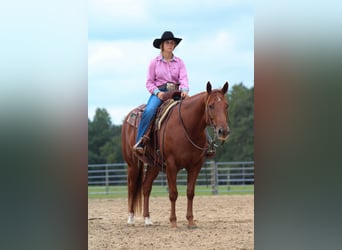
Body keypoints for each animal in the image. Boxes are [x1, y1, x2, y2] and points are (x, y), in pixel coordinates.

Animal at [120, 82, 230, 229]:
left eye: (226, 105)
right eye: (211, 105)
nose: (223, 131)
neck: (187, 128)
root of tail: (128, 118)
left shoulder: (196, 166)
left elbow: (190, 192)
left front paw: (191, 221)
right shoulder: (171, 165)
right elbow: (173, 193)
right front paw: (173, 221)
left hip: (154, 165)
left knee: (146, 187)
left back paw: (147, 219)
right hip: (132, 164)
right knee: (132, 187)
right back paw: (131, 219)